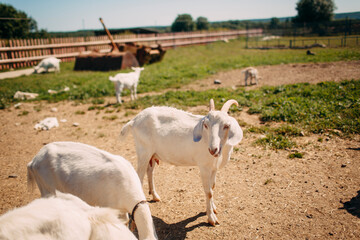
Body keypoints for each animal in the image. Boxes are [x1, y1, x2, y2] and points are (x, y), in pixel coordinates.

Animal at [120, 98, 242, 226]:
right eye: (205, 125)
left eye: (226, 125)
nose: (213, 149)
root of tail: (134, 120)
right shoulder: (204, 166)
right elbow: (208, 192)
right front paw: (211, 218)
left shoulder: (214, 168)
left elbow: (212, 187)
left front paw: (213, 208)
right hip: (143, 152)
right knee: (139, 176)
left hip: (152, 154)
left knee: (150, 172)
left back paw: (155, 196)